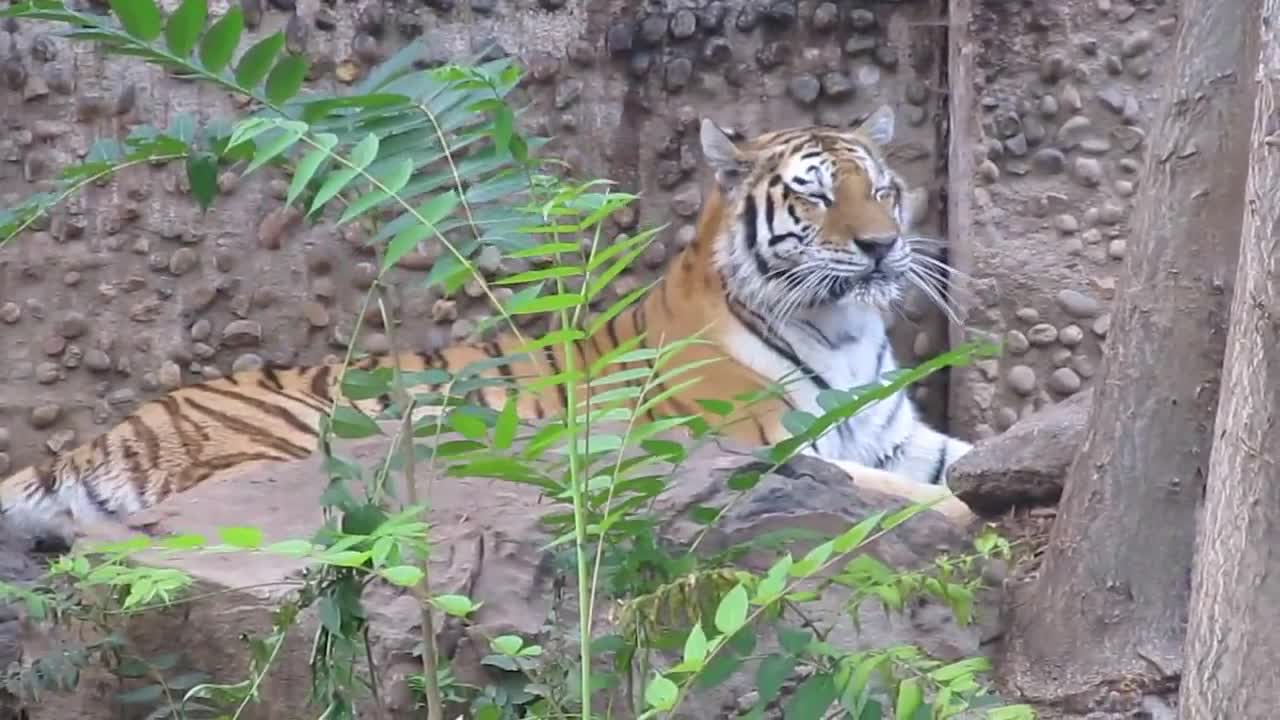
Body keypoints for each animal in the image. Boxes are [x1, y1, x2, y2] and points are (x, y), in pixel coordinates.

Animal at [0, 102, 972, 548]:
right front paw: (962, 515)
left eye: (881, 189)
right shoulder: (759, 445)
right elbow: (888, 493)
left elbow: (956, 461)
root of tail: (111, 430)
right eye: (814, 195)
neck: (842, 331)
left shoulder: (898, 434)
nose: (884, 245)